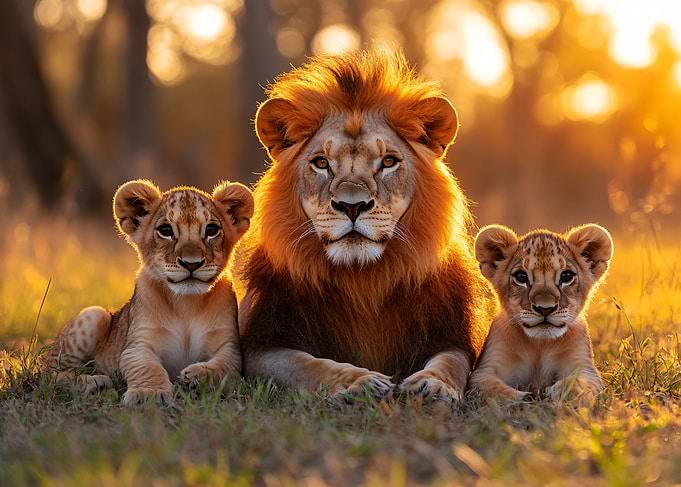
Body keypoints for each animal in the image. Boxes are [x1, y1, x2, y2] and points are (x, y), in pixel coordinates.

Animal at [44, 179, 254, 405]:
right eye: (165, 230)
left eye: (212, 229)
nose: (191, 263)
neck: (186, 304)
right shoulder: (137, 345)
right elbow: (147, 367)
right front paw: (148, 394)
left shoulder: (230, 347)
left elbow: (224, 367)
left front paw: (195, 377)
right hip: (94, 315)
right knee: (50, 371)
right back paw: (93, 381)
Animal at [234, 47, 493, 401]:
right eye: (321, 163)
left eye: (388, 162)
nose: (352, 205)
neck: (363, 281)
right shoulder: (263, 345)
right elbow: (310, 365)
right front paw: (358, 381)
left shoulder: (452, 335)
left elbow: (450, 363)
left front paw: (432, 385)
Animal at [469, 224, 612, 403]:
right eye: (521, 277)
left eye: (566, 276)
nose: (545, 308)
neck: (539, 344)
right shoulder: (483, 370)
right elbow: (491, 389)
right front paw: (525, 398)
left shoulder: (586, 368)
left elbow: (578, 384)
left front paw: (557, 393)